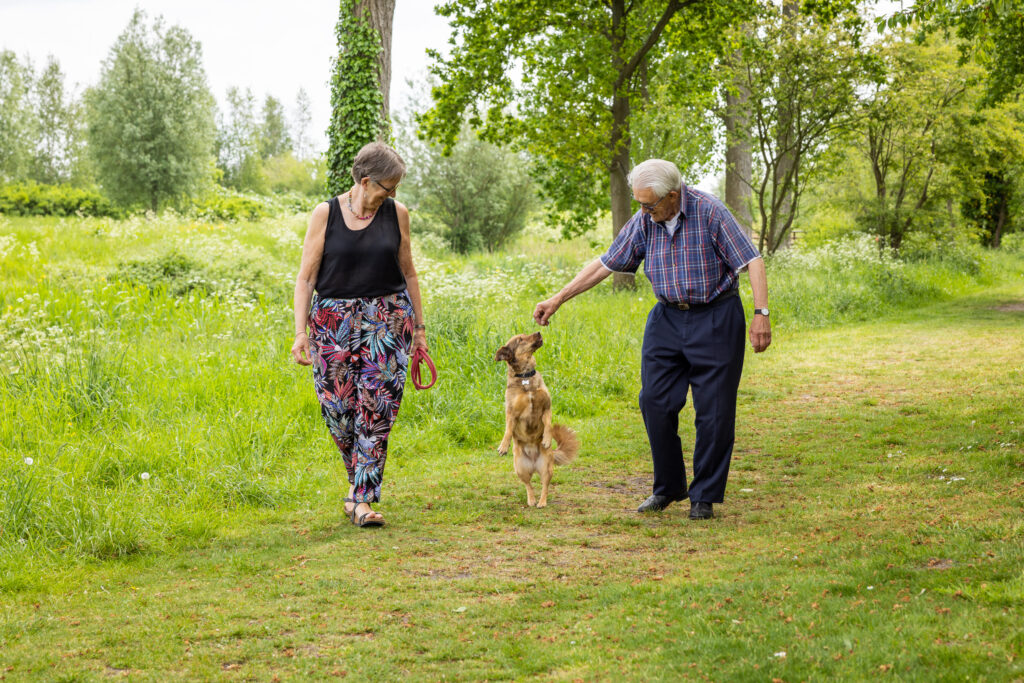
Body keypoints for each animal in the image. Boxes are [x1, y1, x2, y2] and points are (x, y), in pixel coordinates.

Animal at [493, 331, 577, 507]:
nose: (539, 332)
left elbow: (548, 425)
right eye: (520, 339)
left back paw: (542, 502)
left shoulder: (546, 408)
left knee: (545, 486)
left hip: (546, 468)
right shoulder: (511, 413)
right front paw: (503, 446)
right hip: (520, 469)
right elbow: (508, 430)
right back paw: (531, 500)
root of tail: (533, 463)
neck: (526, 377)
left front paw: (546, 439)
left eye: (525, 334)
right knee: (528, 484)